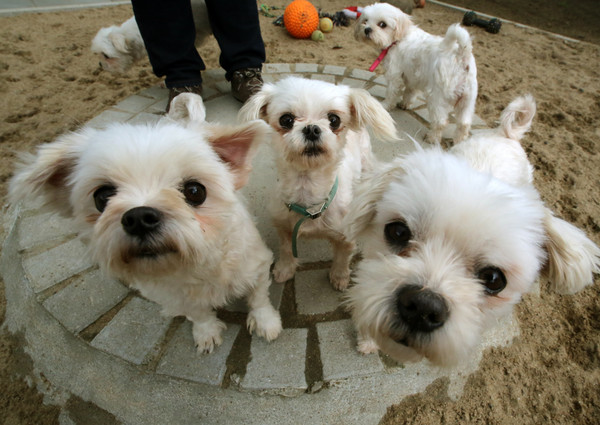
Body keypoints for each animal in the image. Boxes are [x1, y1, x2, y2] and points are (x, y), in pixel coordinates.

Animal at [9, 94, 282, 352]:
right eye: (102, 197)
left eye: (195, 191)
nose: (139, 218)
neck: (194, 265)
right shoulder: (176, 297)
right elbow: (198, 314)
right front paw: (206, 332)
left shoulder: (256, 266)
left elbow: (259, 298)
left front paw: (266, 322)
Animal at [239, 76, 398, 290]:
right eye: (286, 120)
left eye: (334, 120)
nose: (312, 128)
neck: (308, 193)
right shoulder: (284, 227)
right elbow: (286, 250)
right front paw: (285, 269)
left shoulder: (345, 237)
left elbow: (342, 257)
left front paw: (339, 276)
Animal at [356, 1, 478, 145]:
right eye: (365, 21)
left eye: (382, 24)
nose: (367, 29)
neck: (397, 40)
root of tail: (461, 54)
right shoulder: (413, 77)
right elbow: (410, 92)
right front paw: (405, 104)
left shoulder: (394, 75)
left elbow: (391, 93)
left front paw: (386, 105)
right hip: (467, 100)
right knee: (464, 124)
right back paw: (459, 141)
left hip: (437, 98)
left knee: (441, 122)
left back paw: (432, 138)